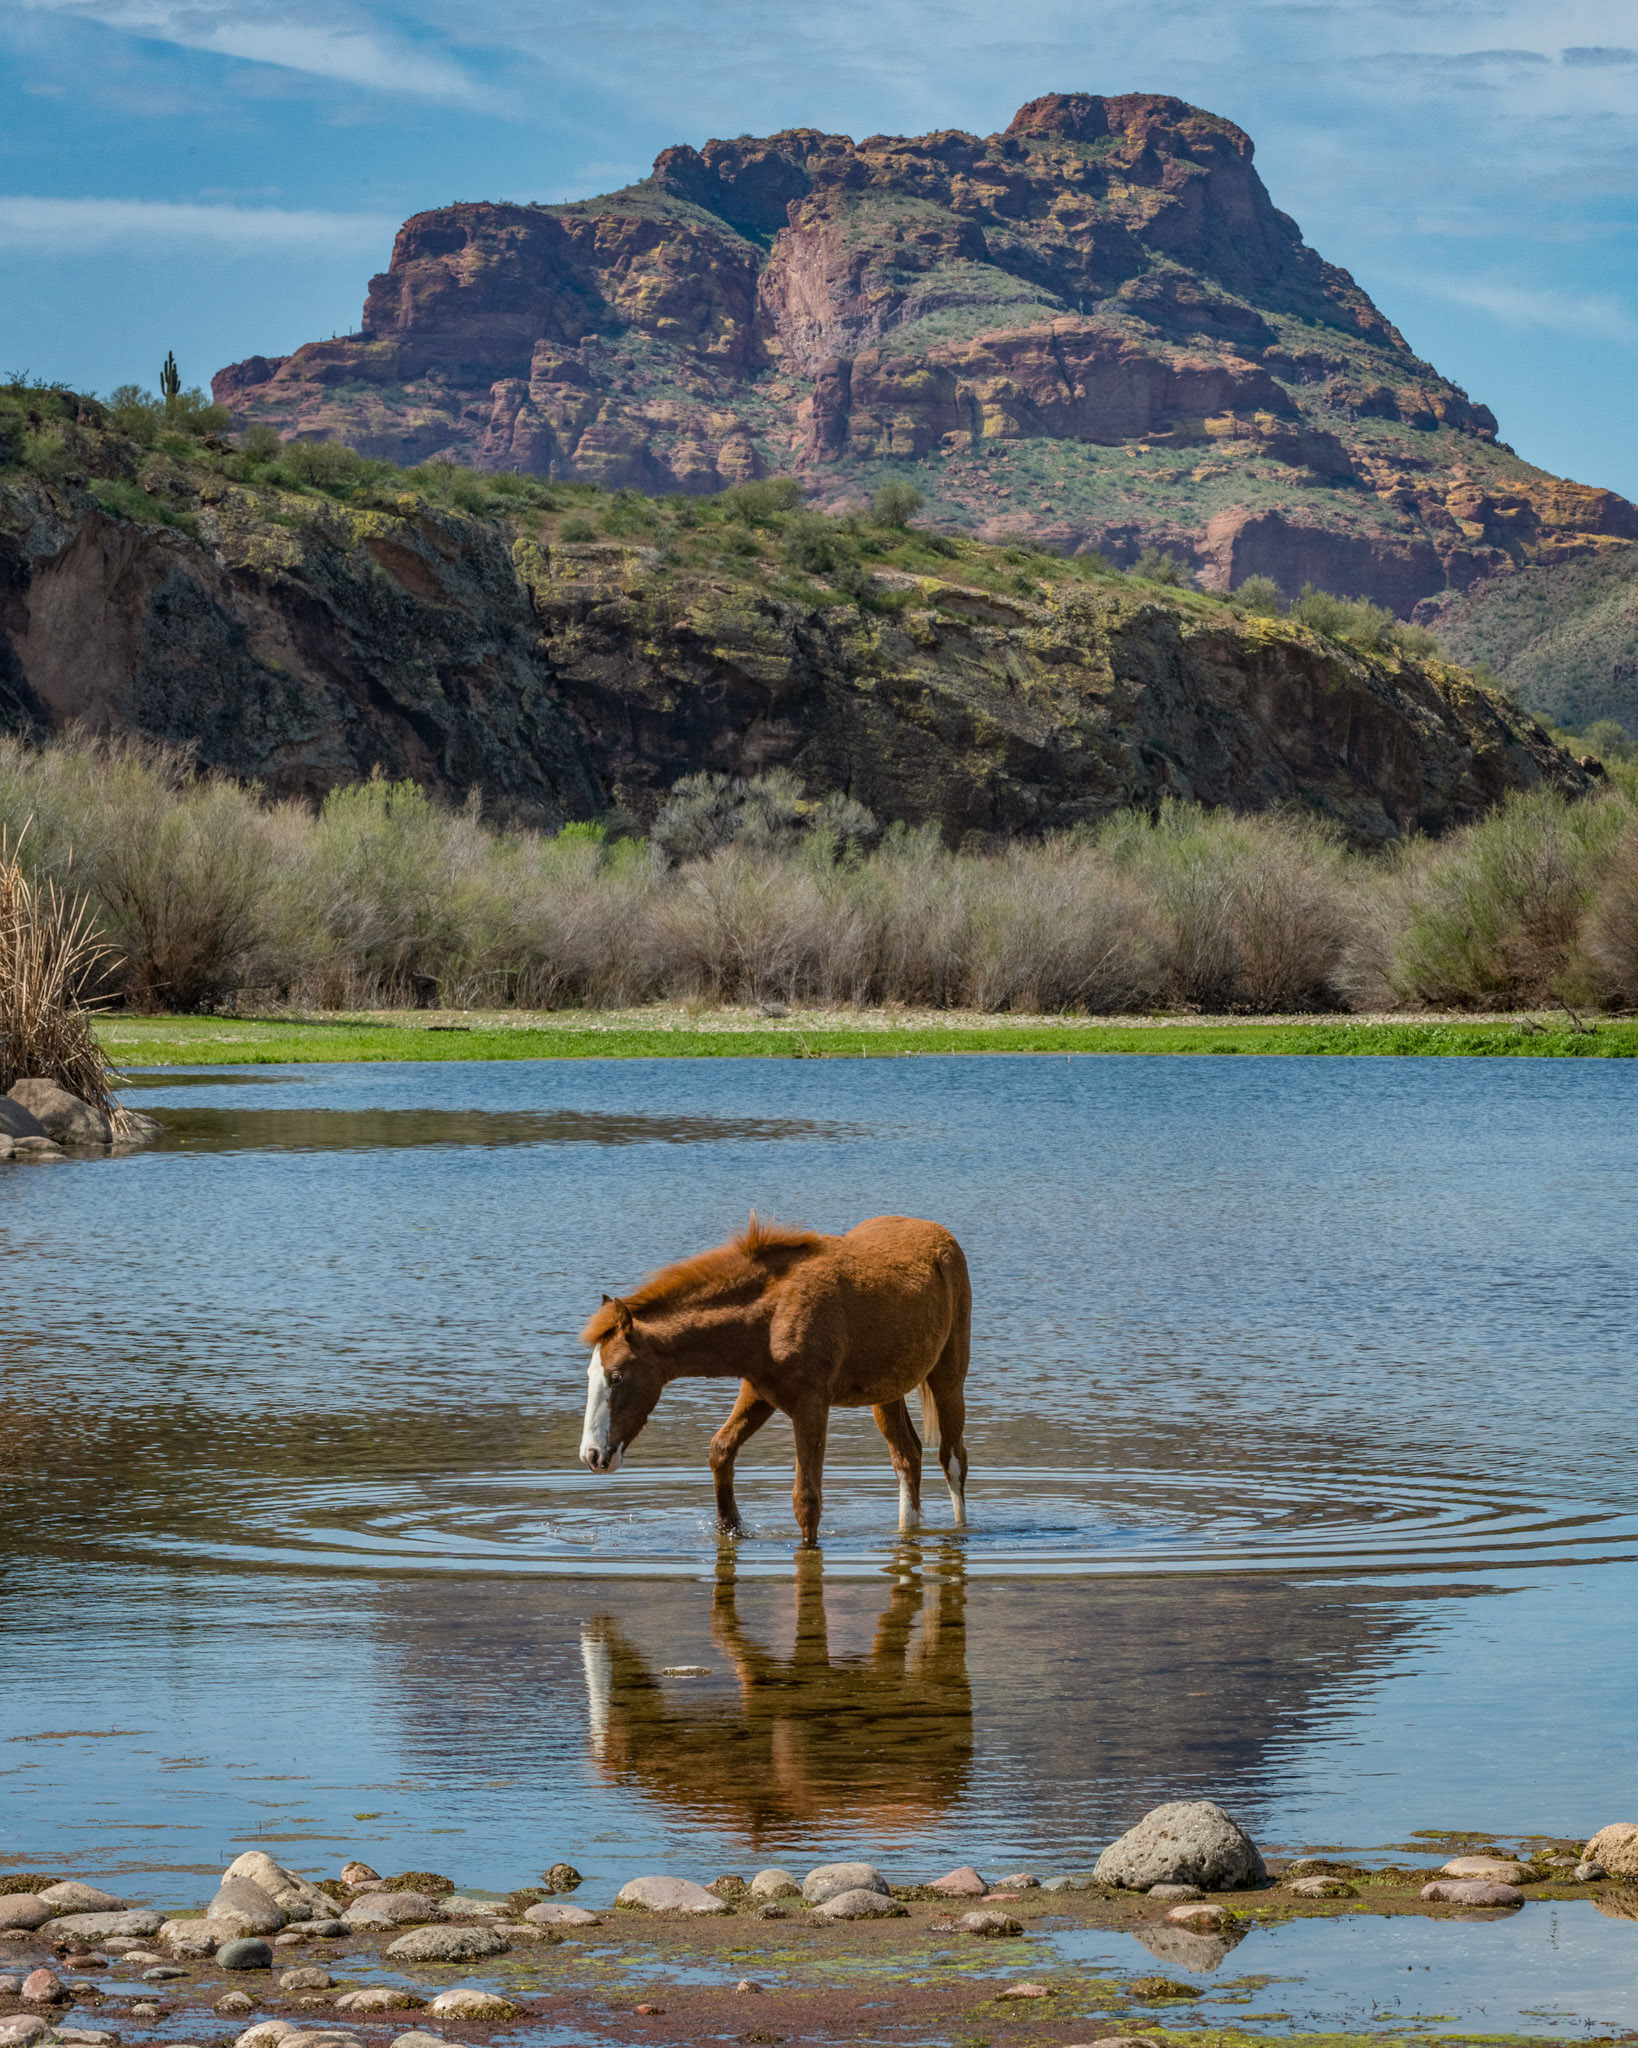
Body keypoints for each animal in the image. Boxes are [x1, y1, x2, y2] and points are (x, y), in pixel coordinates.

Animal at [578, 1213, 971, 1545]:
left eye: (617, 1376)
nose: (592, 1455)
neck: (766, 1320)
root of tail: (943, 1236)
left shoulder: (811, 1404)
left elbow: (806, 1499)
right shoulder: (758, 1392)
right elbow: (721, 1450)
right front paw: (730, 1526)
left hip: (948, 1378)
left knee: (952, 1459)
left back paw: (959, 1530)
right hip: (887, 1392)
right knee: (907, 1457)